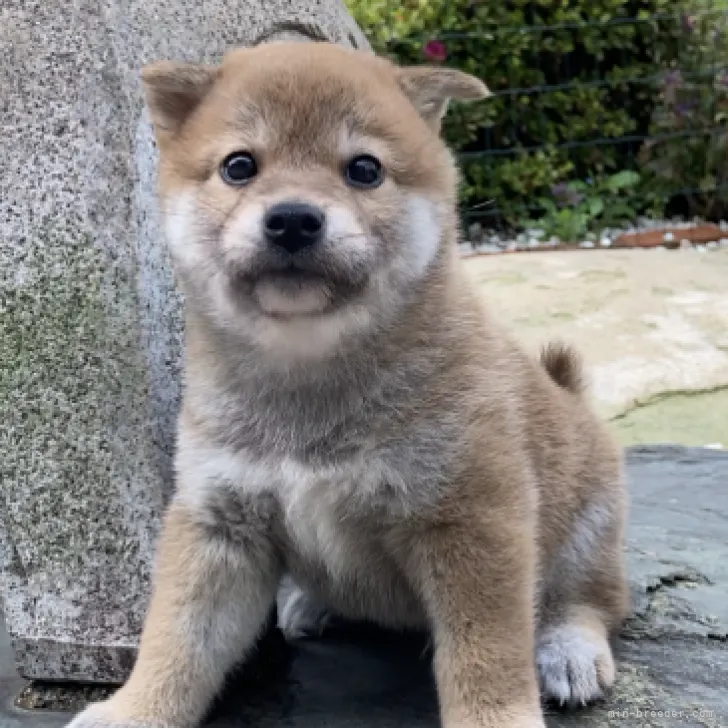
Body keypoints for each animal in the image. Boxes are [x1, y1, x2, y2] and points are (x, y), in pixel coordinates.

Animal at [67, 41, 624, 728]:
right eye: (239, 166)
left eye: (364, 169)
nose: (292, 219)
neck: (309, 380)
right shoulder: (219, 523)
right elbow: (177, 642)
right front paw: (133, 710)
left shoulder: (472, 517)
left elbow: (485, 655)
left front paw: (497, 716)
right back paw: (311, 602)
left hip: (588, 520)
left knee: (586, 598)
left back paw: (569, 649)